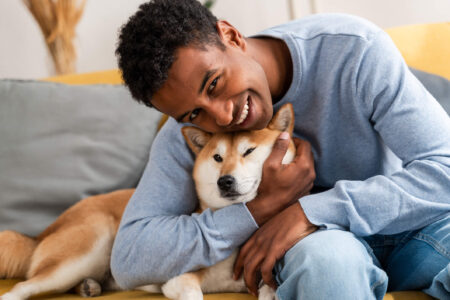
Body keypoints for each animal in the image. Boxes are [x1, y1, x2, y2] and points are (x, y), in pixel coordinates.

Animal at [0, 103, 296, 300]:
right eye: (217, 158)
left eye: (249, 151)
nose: (224, 181)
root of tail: (43, 233)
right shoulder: (178, 280)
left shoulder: (262, 281)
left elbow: (269, 291)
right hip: (87, 250)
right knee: (21, 288)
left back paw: (88, 286)